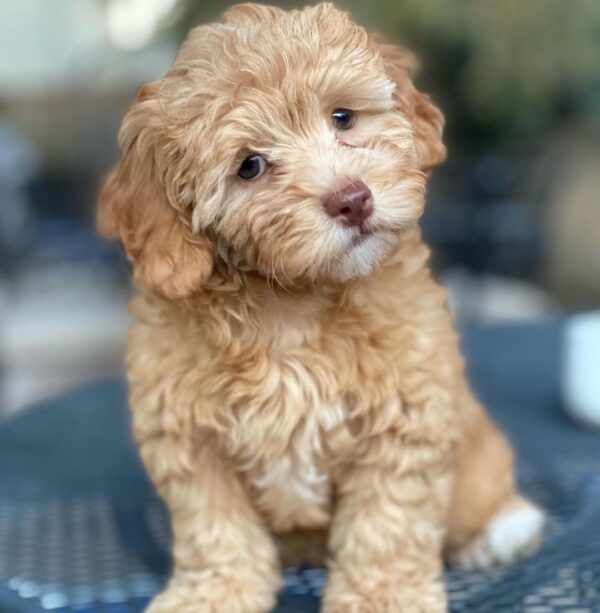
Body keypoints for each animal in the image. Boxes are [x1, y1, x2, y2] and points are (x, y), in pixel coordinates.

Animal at [98, 3, 544, 608]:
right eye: (250, 166)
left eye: (342, 117)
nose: (352, 199)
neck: (292, 303)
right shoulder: (190, 437)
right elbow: (216, 527)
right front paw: (215, 591)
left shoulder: (405, 416)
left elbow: (387, 521)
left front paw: (383, 595)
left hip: (479, 462)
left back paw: (502, 531)